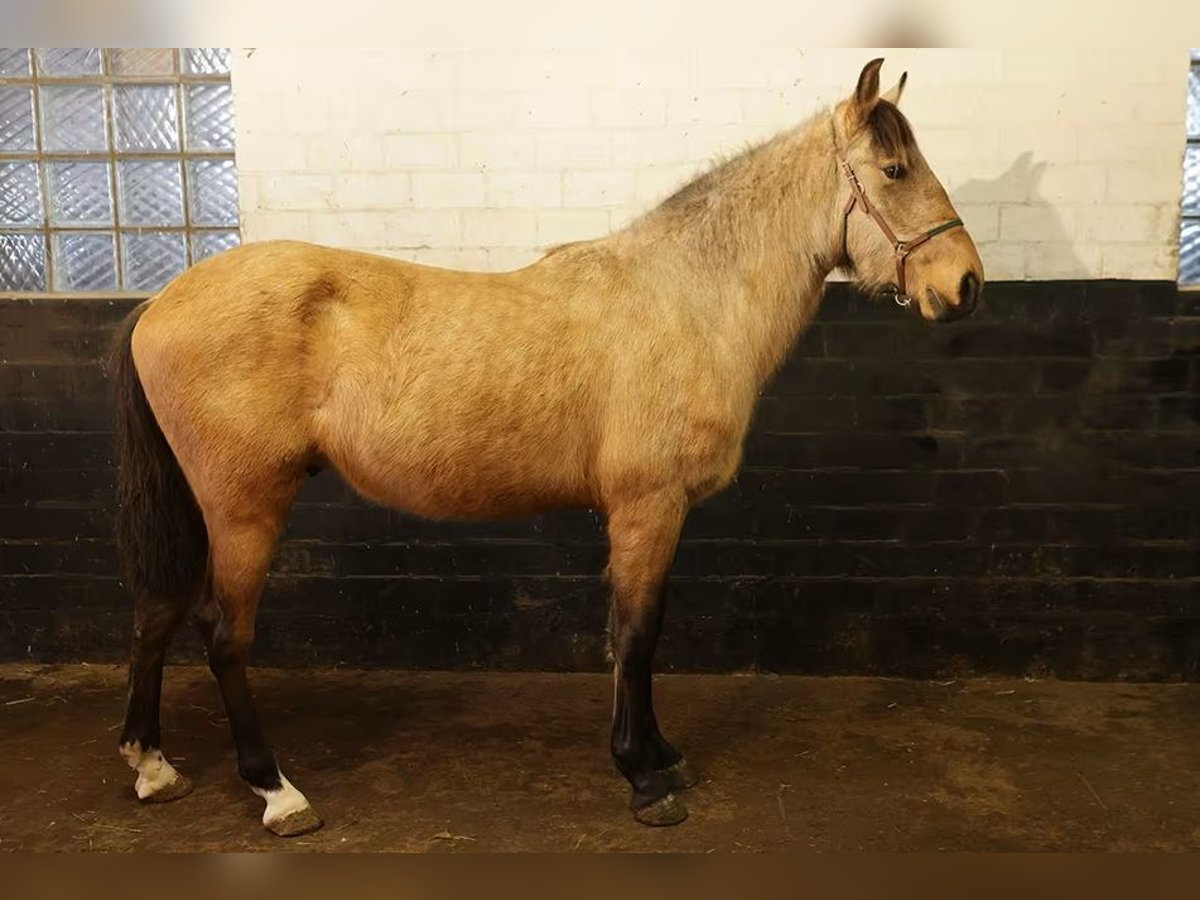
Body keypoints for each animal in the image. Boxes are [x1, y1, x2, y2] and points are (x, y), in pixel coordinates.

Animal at [109, 58, 983, 835]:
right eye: (896, 168)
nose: (967, 284)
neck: (685, 300)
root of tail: (159, 302)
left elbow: (637, 629)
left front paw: (662, 756)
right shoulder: (647, 506)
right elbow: (637, 633)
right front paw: (642, 776)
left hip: (201, 507)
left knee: (156, 611)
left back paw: (153, 767)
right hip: (245, 507)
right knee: (223, 633)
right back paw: (276, 791)